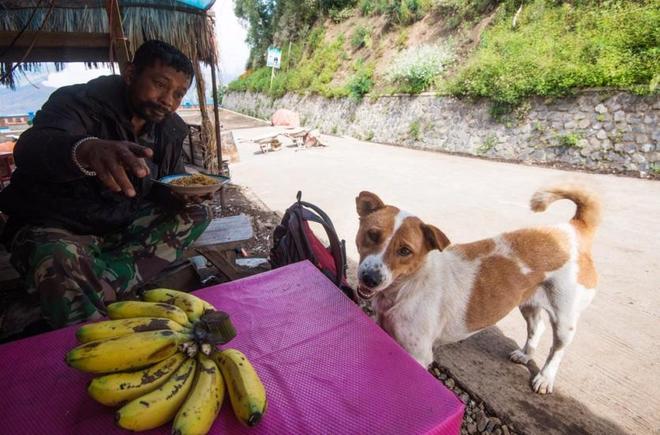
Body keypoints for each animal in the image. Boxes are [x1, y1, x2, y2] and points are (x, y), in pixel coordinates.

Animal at [356, 186, 604, 394]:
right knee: (537, 327)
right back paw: (525, 355)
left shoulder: (418, 355)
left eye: (405, 251)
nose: (370, 278)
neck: (408, 286)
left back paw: (545, 377)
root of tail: (571, 229)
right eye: (373, 235)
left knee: (557, 350)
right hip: (527, 301)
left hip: (564, 320)